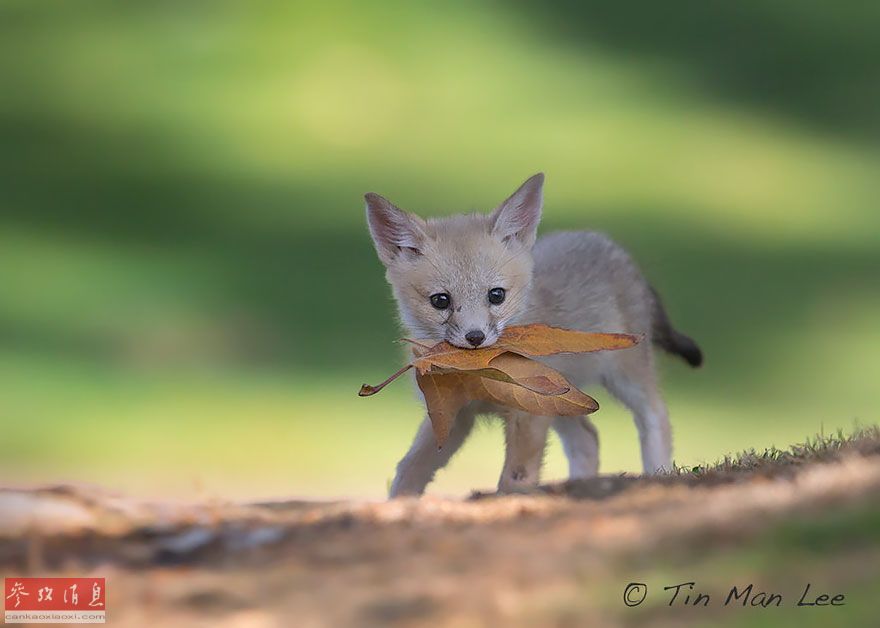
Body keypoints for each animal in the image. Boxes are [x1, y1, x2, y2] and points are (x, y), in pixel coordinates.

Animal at [364, 173, 700, 496]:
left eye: (496, 295)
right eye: (440, 301)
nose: (475, 337)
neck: (479, 377)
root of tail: (611, 246)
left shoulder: (527, 416)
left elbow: (514, 479)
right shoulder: (452, 415)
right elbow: (409, 469)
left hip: (625, 376)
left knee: (656, 418)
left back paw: (657, 476)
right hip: (567, 399)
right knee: (588, 440)